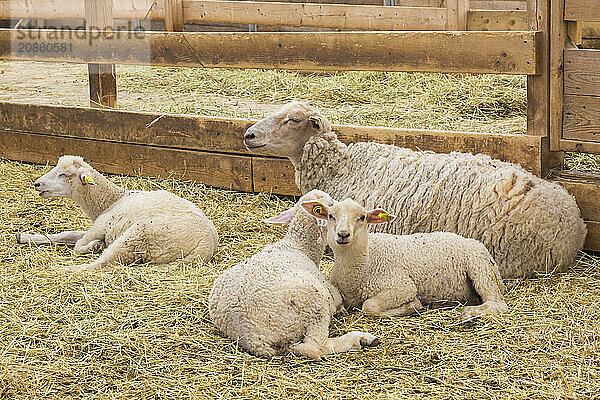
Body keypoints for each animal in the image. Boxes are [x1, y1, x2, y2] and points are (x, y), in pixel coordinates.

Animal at [15, 155, 218, 272]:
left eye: (65, 174)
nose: (37, 184)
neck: (112, 200)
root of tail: (206, 245)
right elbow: (67, 235)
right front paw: (24, 236)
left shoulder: (101, 225)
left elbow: (78, 244)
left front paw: (93, 246)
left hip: (138, 236)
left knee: (103, 263)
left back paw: (61, 269)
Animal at [207, 189, 376, 360]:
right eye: (331, 207)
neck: (298, 246)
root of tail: (253, 336)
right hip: (314, 306)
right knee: (314, 346)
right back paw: (361, 339)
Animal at [302, 198, 508, 324]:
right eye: (330, 216)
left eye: (362, 217)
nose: (343, 234)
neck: (365, 264)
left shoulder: (401, 286)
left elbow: (369, 306)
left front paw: (412, 306)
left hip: (481, 269)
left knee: (497, 303)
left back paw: (468, 313)